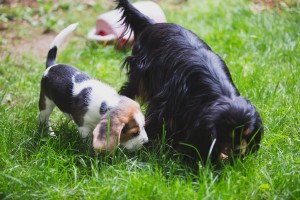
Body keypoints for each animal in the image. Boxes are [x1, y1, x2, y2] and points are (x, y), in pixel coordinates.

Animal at [38, 23, 148, 153]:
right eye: (134, 133)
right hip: (46, 103)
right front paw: (90, 152)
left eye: (144, 126)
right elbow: (88, 140)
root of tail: (51, 66)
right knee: (44, 119)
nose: (146, 142)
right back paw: (50, 134)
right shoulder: (84, 126)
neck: (106, 104)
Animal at [115, 0, 262, 162]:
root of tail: (151, 24)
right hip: (140, 75)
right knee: (128, 90)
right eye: (226, 135)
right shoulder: (164, 107)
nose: (237, 151)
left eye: (247, 134)